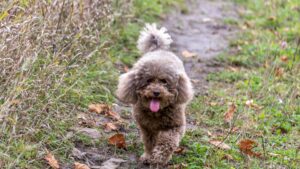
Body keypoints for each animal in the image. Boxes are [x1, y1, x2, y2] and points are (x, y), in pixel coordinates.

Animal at [116, 22, 193, 166]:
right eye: (148, 80)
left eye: (164, 81)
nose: (156, 92)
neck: (156, 113)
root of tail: (158, 49)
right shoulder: (147, 127)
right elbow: (149, 142)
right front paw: (148, 156)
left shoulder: (176, 126)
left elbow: (168, 141)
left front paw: (159, 157)